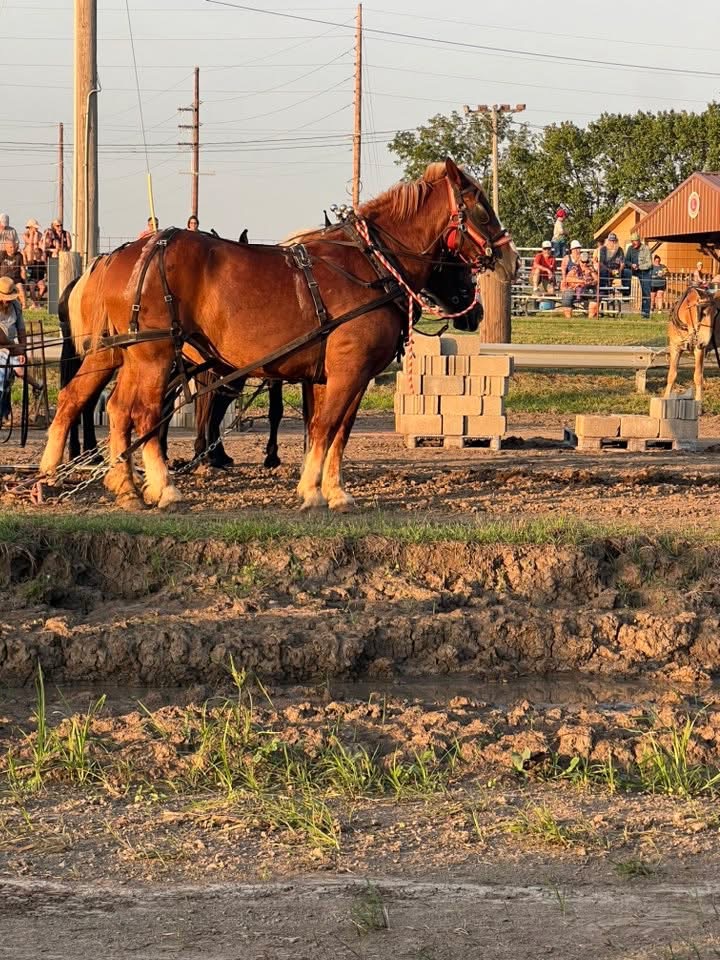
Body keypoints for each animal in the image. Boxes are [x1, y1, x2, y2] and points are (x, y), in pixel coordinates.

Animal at [41, 158, 516, 511]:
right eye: (481, 208)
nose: (510, 257)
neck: (370, 264)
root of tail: (121, 255)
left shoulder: (330, 376)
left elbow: (332, 430)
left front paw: (329, 489)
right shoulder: (350, 371)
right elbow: (328, 427)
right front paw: (316, 492)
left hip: (116, 353)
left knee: (84, 402)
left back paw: (74, 478)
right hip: (155, 356)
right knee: (138, 413)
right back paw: (160, 487)